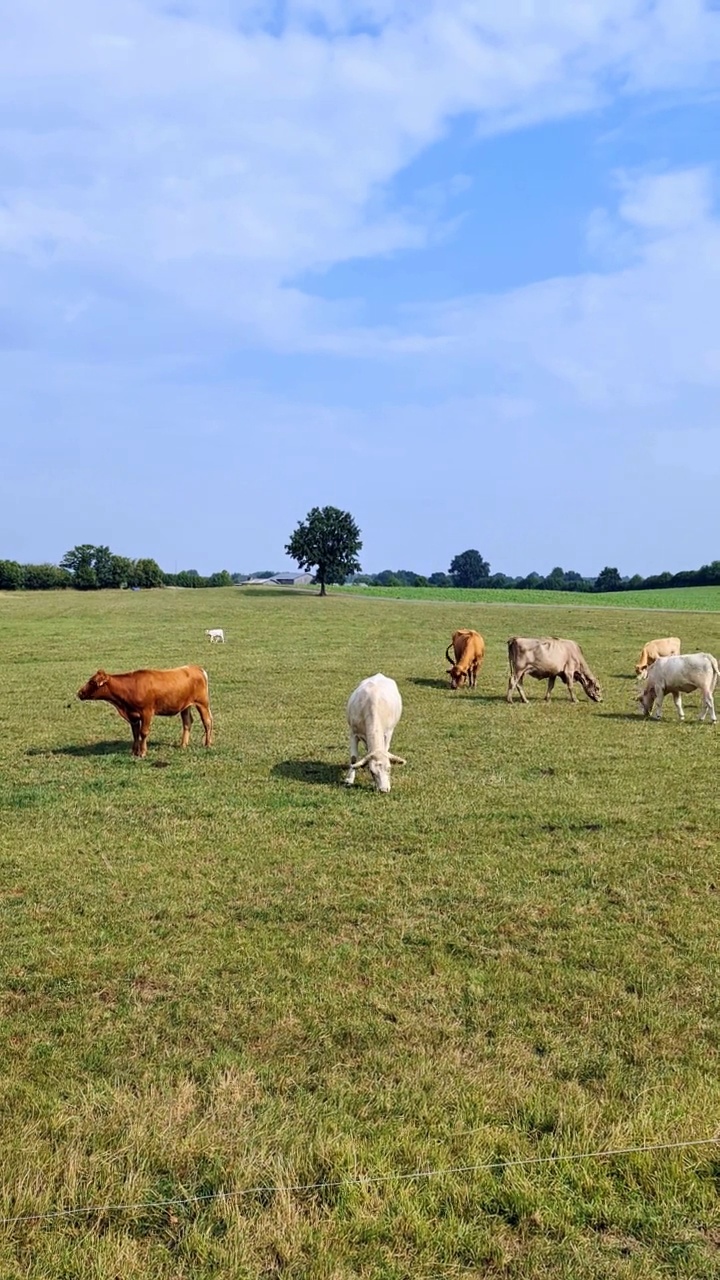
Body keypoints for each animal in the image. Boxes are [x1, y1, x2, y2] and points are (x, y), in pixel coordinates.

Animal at [78, 665, 213, 752]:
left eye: (92, 682)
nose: (79, 692)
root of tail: (195, 668)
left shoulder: (147, 712)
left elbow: (143, 732)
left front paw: (142, 752)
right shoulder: (133, 715)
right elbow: (135, 733)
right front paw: (134, 752)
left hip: (202, 703)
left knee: (207, 722)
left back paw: (207, 744)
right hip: (185, 706)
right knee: (187, 723)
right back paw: (183, 745)